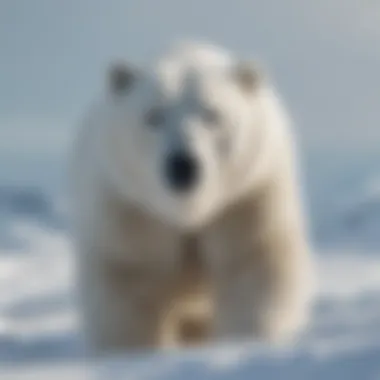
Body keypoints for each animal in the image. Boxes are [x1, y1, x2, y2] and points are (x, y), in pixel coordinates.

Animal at [70, 40, 316, 354]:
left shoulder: (245, 200)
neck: (189, 212)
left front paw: (244, 342)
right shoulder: (129, 213)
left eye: (211, 114)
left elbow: (252, 268)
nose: (183, 164)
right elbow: (129, 285)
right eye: (154, 115)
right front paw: (136, 352)